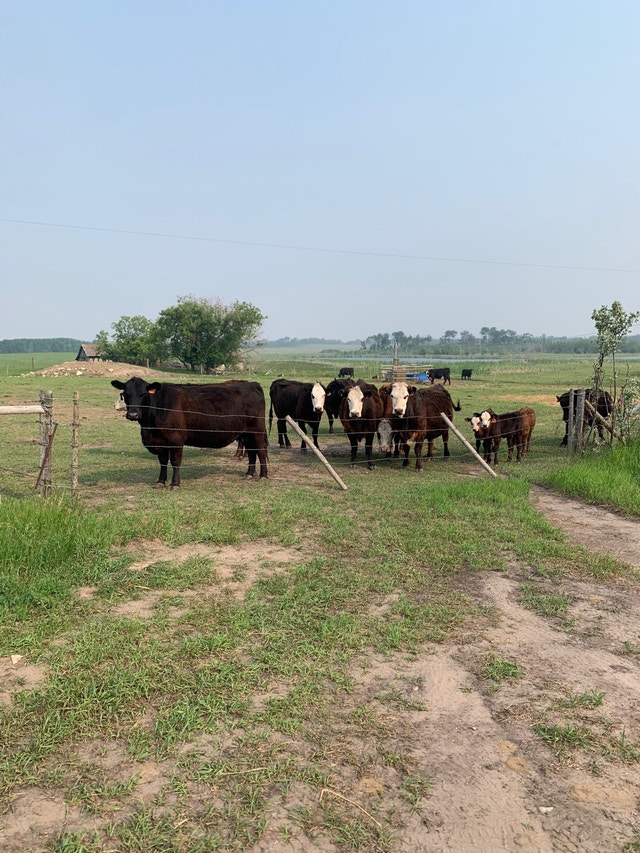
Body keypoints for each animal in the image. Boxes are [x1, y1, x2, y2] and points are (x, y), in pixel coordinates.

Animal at [111, 377, 268, 487]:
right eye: (125, 394)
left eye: (143, 394)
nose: (133, 414)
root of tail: (252, 384)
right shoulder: (160, 441)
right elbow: (163, 462)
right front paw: (160, 481)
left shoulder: (176, 439)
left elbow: (175, 461)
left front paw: (175, 483)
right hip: (246, 434)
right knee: (252, 452)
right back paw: (249, 474)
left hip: (257, 432)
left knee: (260, 451)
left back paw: (263, 475)